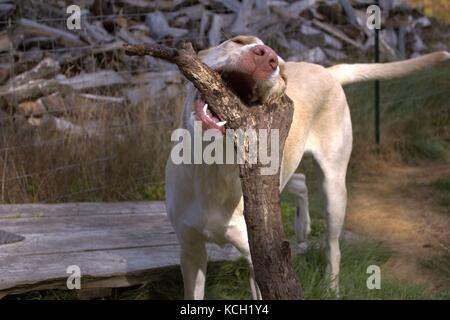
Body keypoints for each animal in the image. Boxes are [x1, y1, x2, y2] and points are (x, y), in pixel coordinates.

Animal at [165, 35, 450, 300]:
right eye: (238, 41)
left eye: (280, 68)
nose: (266, 55)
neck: (212, 167)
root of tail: (327, 71)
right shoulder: (190, 251)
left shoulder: (260, 263)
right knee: (300, 181)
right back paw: (302, 228)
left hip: (334, 188)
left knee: (333, 246)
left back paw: (331, 286)